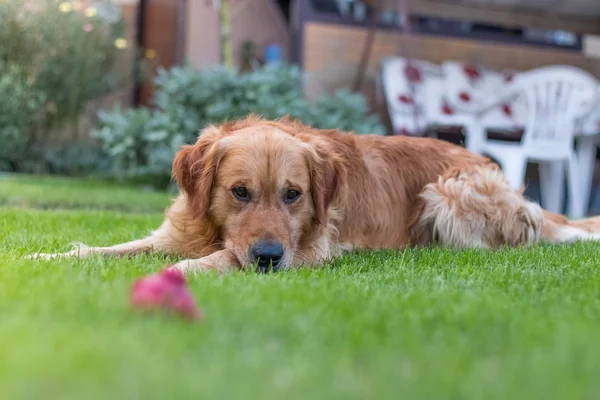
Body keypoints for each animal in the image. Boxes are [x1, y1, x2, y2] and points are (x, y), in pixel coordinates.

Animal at [29, 114, 600, 274]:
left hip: (448, 192)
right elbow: (105, 249)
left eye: (293, 195)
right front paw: (42, 257)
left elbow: (217, 260)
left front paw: (182, 274)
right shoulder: (174, 233)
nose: (267, 256)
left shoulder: (309, 250)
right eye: (239, 192)